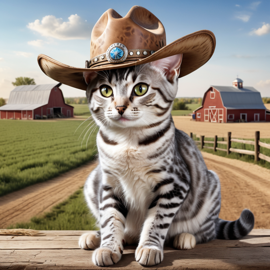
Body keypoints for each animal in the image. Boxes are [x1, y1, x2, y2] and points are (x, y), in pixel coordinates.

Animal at [77, 53, 253, 266]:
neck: (128, 141)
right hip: (92, 180)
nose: (119, 107)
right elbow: (110, 219)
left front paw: (149, 247)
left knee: (207, 232)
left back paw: (185, 237)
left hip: (211, 185)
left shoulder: (175, 184)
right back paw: (97, 237)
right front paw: (108, 246)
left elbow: (156, 220)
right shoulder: (110, 184)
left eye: (140, 89)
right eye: (105, 90)